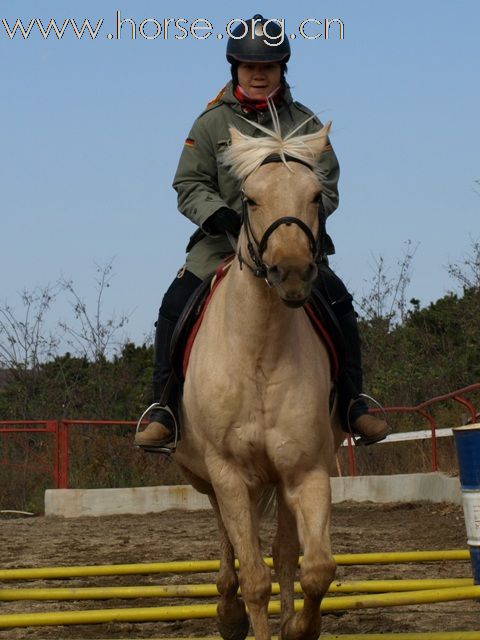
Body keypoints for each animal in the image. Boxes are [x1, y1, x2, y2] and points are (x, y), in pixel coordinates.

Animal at [172, 115, 342, 640]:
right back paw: (226, 613)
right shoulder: (228, 473)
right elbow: (253, 579)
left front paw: (299, 627)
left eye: (316, 195)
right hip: (206, 477)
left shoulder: (306, 469)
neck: (260, 354)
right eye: (249, 199)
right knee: (228, 548)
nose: (291, 272)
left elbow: (315, 568)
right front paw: (241, 613)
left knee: (286, 554)